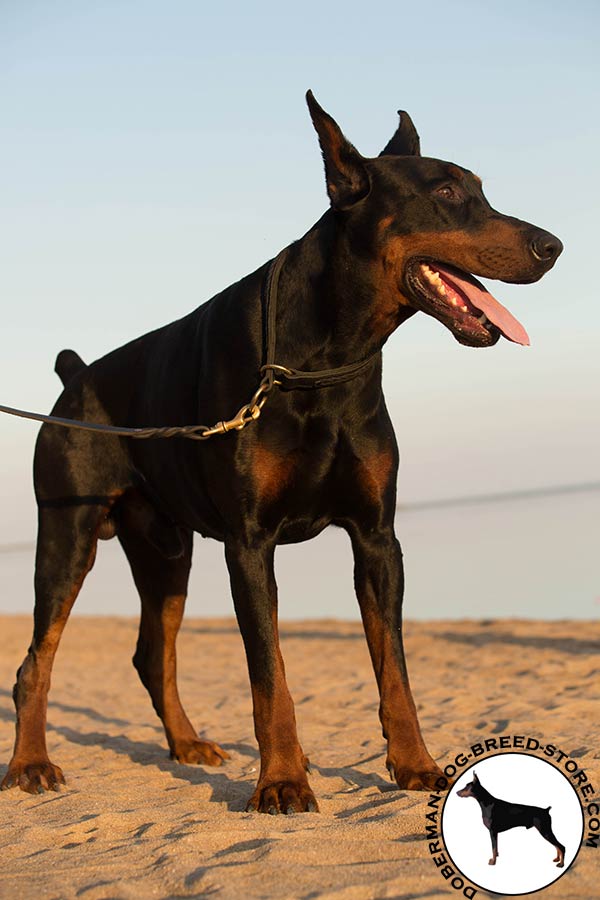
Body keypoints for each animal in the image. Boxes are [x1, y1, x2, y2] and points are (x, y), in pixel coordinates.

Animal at [1, 93, 564, 816]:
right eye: (444, 192)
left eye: (483, 190)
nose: (553, 246)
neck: (325, 360)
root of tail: (74, 379)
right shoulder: (250, 542)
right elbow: (270, 676)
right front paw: (282, 781)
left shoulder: (377, 537)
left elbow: (395, 670)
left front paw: (415, 764)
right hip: (67, 533)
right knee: (34, 661)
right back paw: (31, 763)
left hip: (166, 548)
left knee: (153, 653)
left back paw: (187, 745)